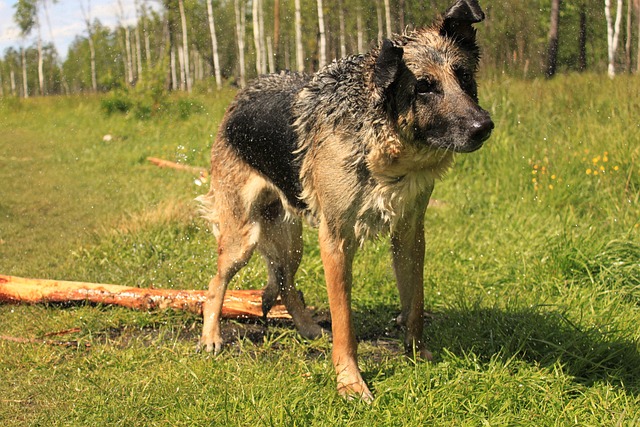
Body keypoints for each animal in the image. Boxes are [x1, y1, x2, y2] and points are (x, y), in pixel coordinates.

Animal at [198, 0, 492, 402]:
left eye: (462, 77)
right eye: (424, 88)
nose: (484, 127)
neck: (382, 142)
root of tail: (239, 97)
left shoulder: (410, 234)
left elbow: (414, 303)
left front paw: (418, 354)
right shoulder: (336, 240)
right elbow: (345, 323)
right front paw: (350, 381)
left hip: (291, 240)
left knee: (285, 283)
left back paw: (308, 329)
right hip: (242, 238)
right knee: (215, 285)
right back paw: (211, 337)